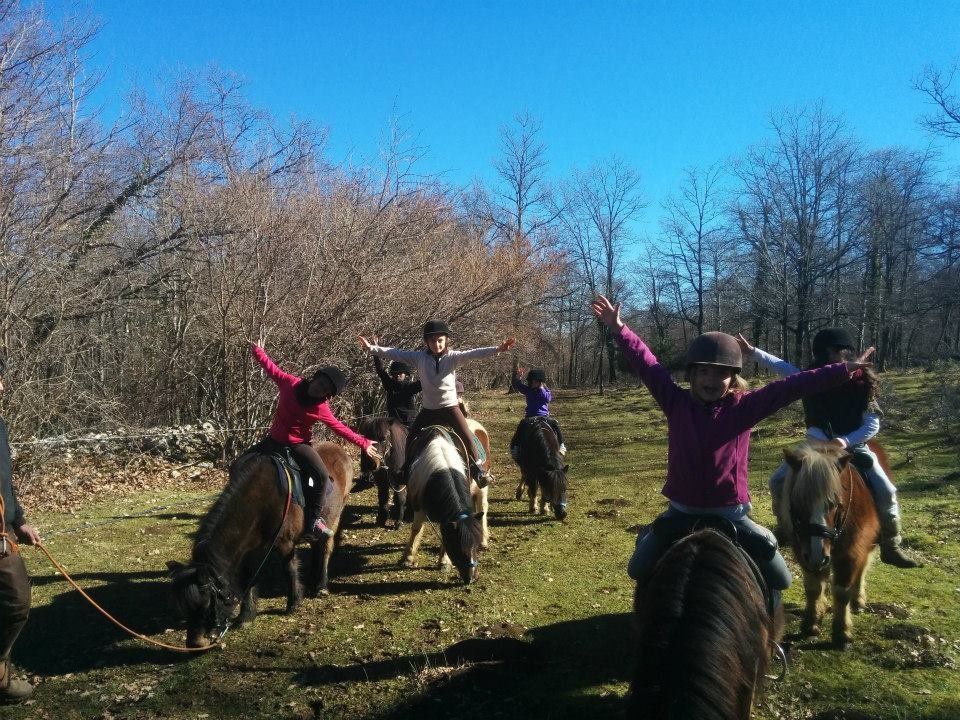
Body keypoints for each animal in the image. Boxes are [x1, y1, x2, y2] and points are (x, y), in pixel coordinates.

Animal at [169, 438, 352, 648]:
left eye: (207, 603)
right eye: (184, 607)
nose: (195, 643)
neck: (261, 501)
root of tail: (339, 450)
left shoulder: (284, 542)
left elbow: (289, 570)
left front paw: (293, 604)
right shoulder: (251, 548)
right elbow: (250, 577)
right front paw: (246, 616)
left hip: (335, 516)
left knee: (325, 548)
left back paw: (321, 585)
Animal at [780, 442, 876, 648]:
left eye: (835, 504)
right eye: (798, 502)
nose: (818, 556)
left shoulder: (851, 552)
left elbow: (841, 591)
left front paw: (842, 633)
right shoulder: (803, 552)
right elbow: (813, 588)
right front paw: (811, 623)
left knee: (863, 567)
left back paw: (858, 600)